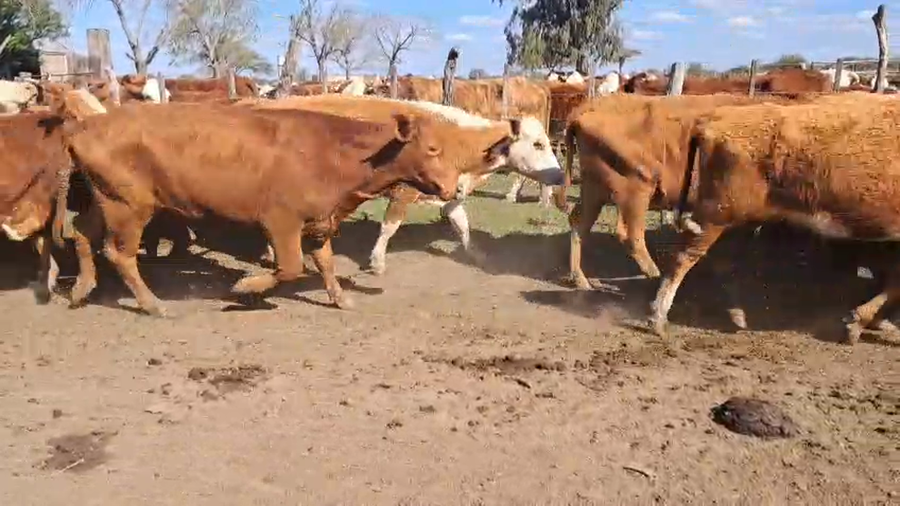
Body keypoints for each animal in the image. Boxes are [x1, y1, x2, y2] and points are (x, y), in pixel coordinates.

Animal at [38, 89, 461, 316]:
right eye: (432, 148)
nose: (452, 188)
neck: (334, 151)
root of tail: (85, 125)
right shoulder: (281, 222)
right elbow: (289, 268)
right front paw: (245, 287)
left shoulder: (319, 222)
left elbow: (325, 263)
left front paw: (341, 299)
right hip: (128, 208)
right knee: (119, 253)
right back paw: (152, 304)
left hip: (105, 201)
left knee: (82, 235)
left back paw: (82, 289)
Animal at [248, 94, 565, 274]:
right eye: (538, 144)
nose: (561, 176)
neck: (457, 138)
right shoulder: (403, 191)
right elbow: (389, 227)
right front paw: (377, 262)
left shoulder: (450, 195)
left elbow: (461, 224)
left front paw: (476, 254)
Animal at [558, 93, 817, 290]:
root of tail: (590, 107)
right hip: (637, 184)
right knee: (629, 234)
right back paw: (654, 273)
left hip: (595, 189)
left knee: (579, 222)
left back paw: (581, 280)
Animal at [650, 93, 900, 344]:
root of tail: (715, 119)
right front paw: (860, 323)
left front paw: (870, 322)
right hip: (716, 215)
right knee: (684, 257)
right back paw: (659, 318)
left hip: (736, 220)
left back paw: (736, 314)